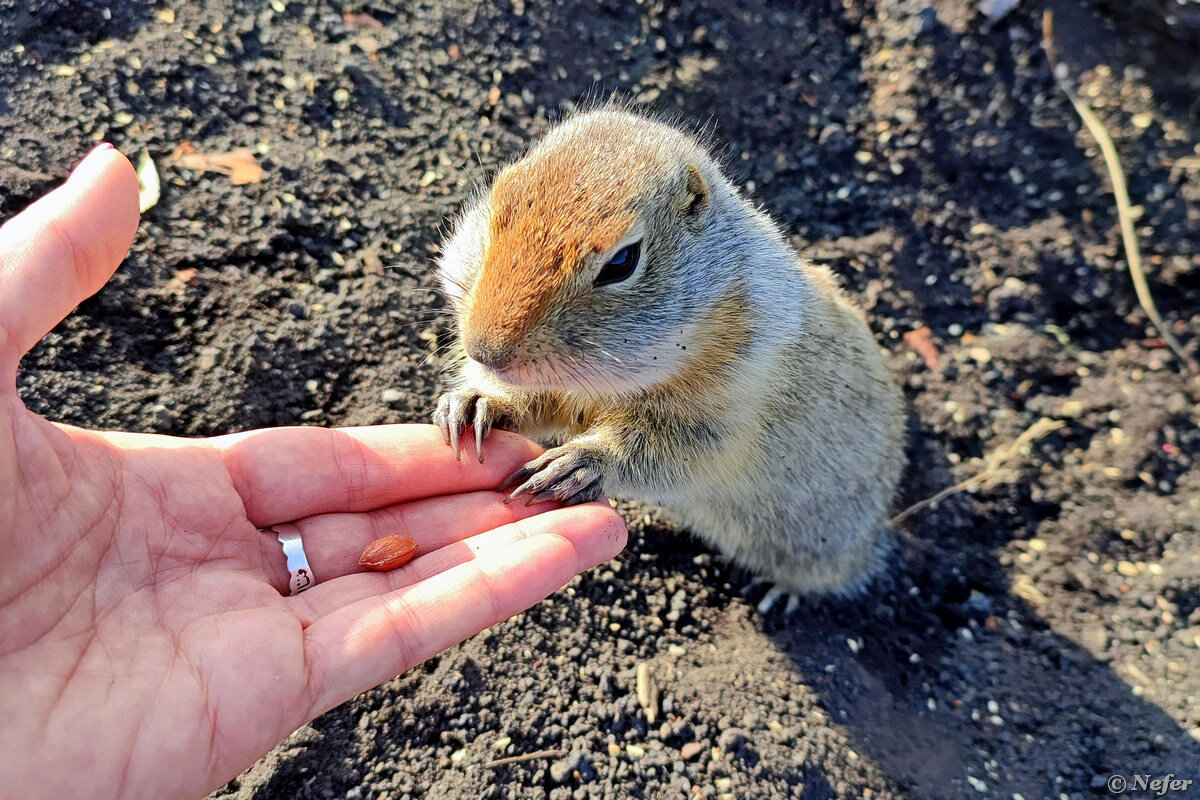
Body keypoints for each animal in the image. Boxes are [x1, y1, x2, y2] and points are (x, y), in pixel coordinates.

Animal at [436, 110, 902, 606]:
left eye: (623, 260)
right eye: (497, 203)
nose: (484, 351)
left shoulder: (726, 408)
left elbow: (668, 453)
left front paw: (576, 465)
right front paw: (475, 402)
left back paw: (781, 592)